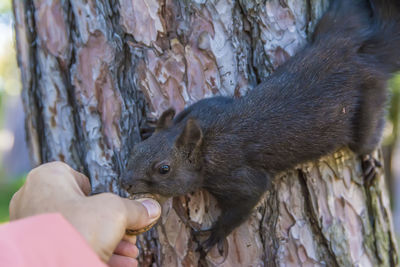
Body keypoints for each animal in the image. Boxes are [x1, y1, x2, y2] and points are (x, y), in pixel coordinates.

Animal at [120, 0, 400, 253]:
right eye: (135, 150)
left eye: (164, 169)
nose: (125, 183)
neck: (205, 145)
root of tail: (366, 57)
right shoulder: (206, 107)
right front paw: (153, 125)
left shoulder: (239, 176)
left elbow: (247, 200)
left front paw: (215, 235)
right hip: (335, 22)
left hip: (369, 102)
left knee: (367, 139)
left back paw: (370, 160)